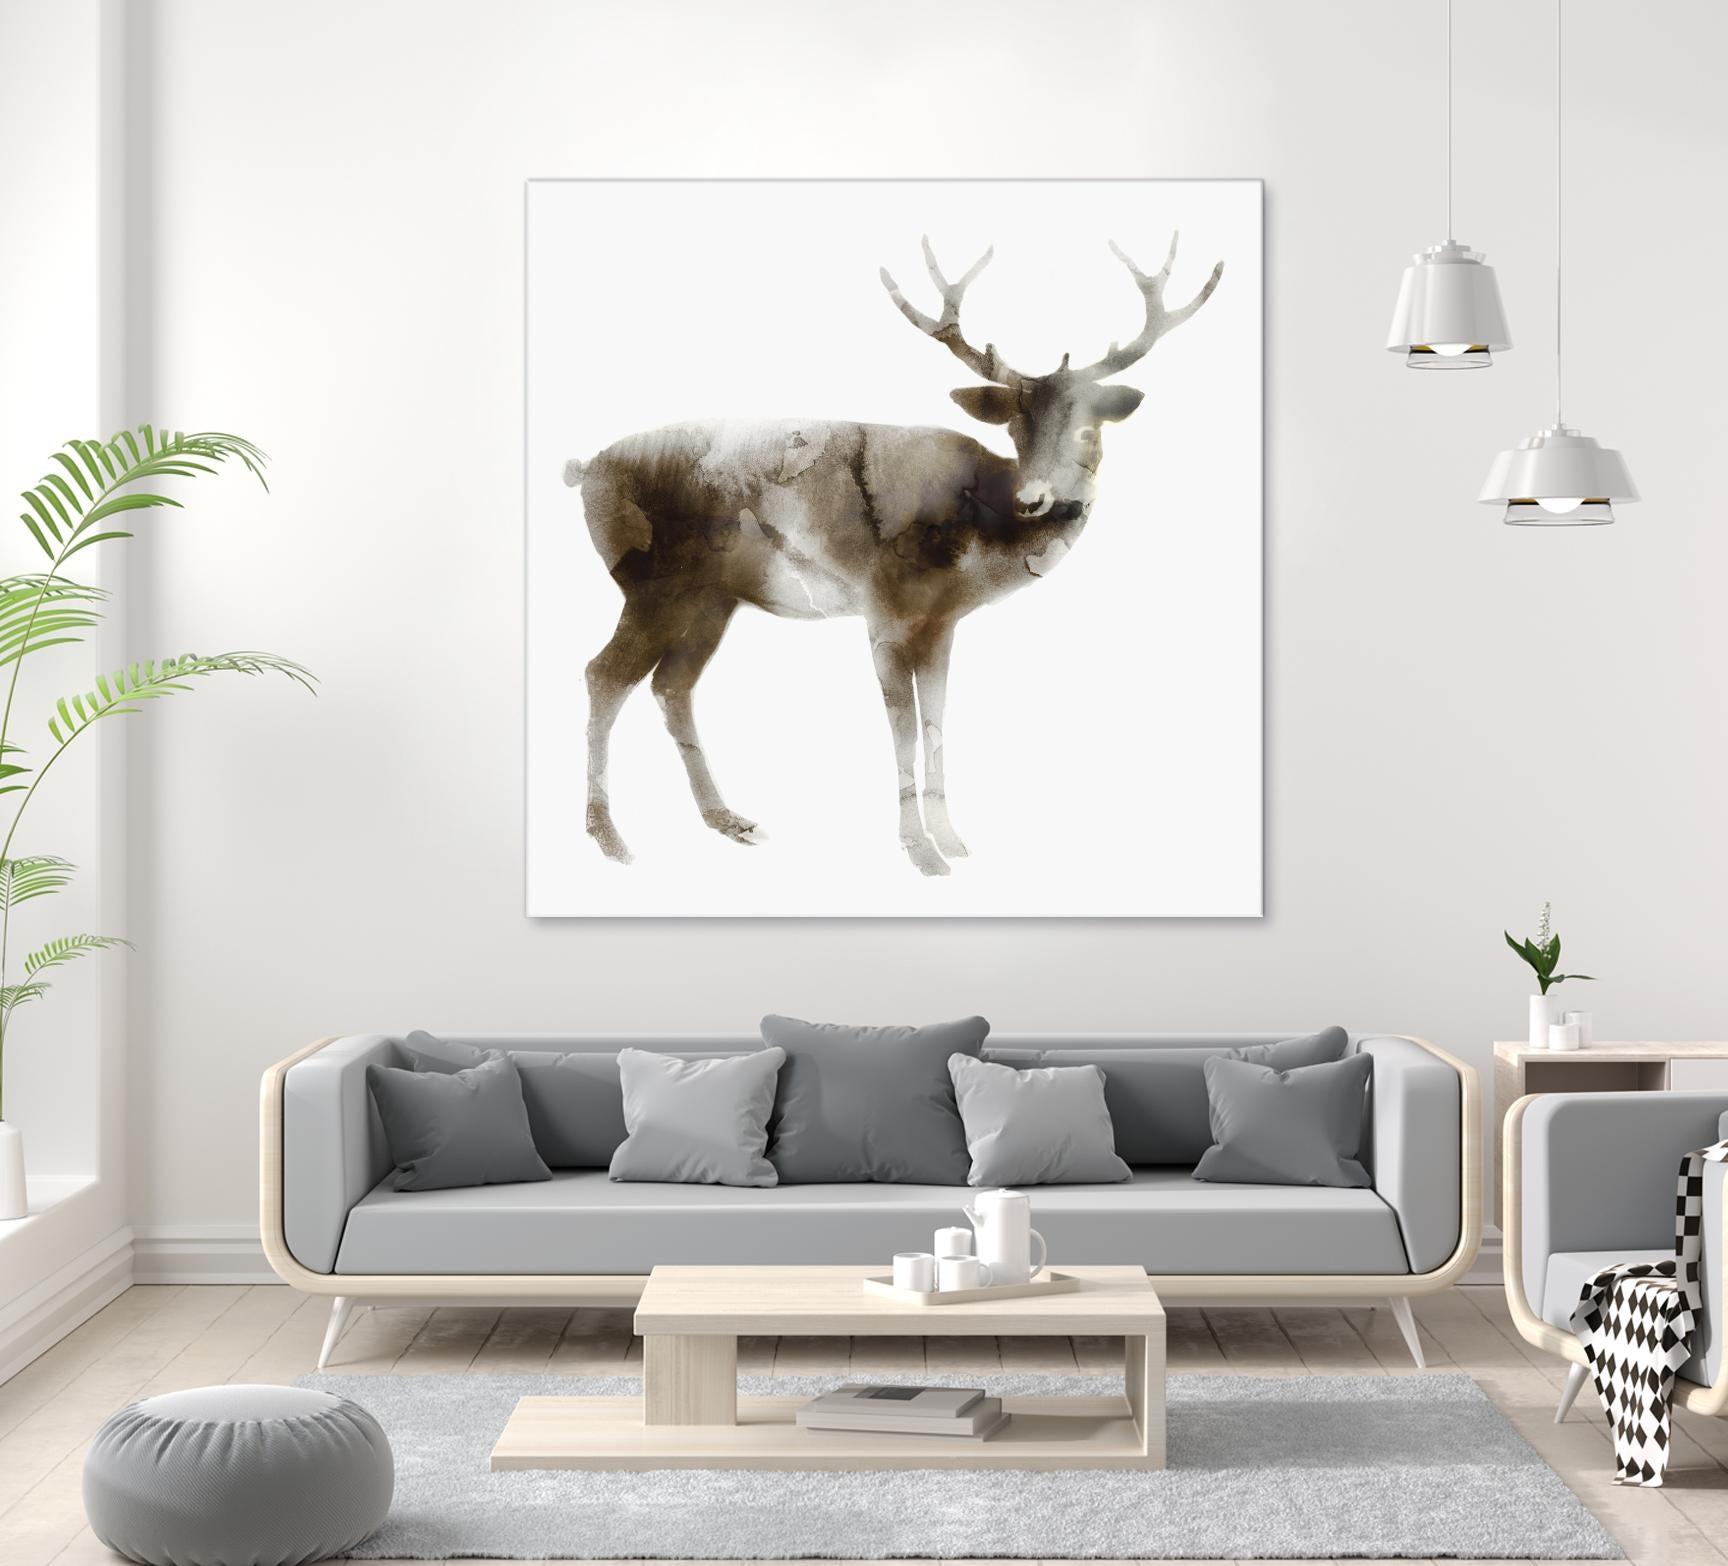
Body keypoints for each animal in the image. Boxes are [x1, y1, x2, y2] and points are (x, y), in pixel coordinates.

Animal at [563, 233, 1223, 876]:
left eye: (1089, 428)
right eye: (1014, 427)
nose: (1035, 499)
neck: (975, 543)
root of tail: (585, 470)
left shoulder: (942, 625)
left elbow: (936, 721)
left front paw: (952, 840)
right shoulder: (883, 610)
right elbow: (903, 727)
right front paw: (920, 851)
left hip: (710, 600)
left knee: (672, 686)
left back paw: (727, 819)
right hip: (652, 586)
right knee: (604, 674)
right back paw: (609, 838)